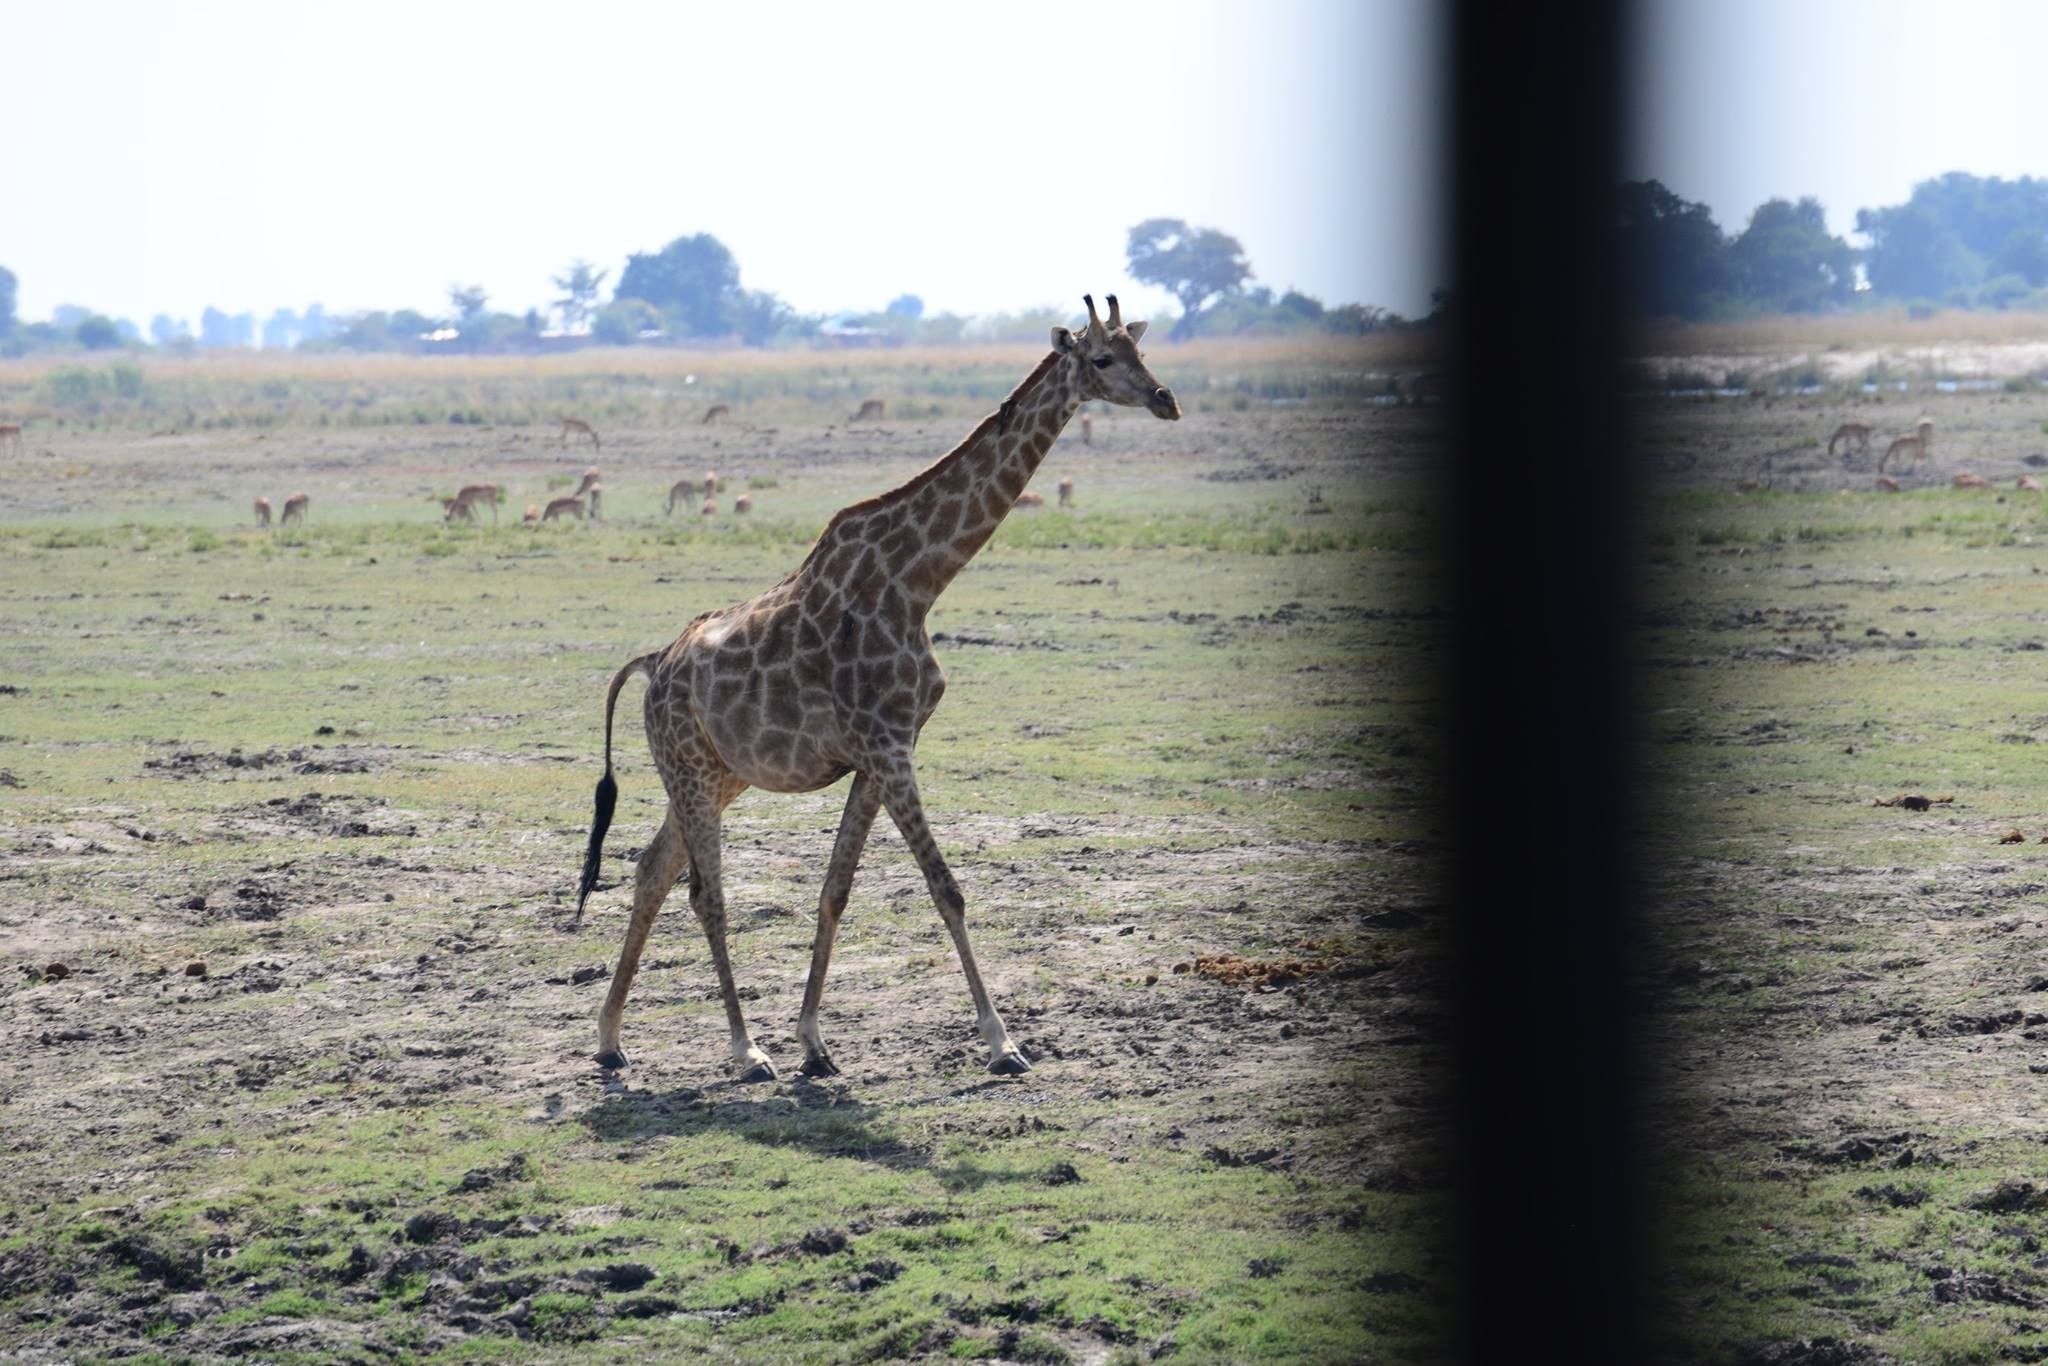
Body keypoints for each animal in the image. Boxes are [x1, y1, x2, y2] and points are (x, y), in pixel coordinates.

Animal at [577, 290, 1187, 1081]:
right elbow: (946, 889)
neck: (917, 582)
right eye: (1105, 358)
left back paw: (610, 1038)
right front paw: (1003, 1043)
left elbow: (836, 891)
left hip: (716, 774)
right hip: (687, 769)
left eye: (1143, 350)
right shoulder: (889, 747)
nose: (1167, 399)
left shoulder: (880, 755)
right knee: (705, 895)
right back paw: (745, 1051)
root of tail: (654, 662)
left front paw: (814, 1042)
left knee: (653, 870)